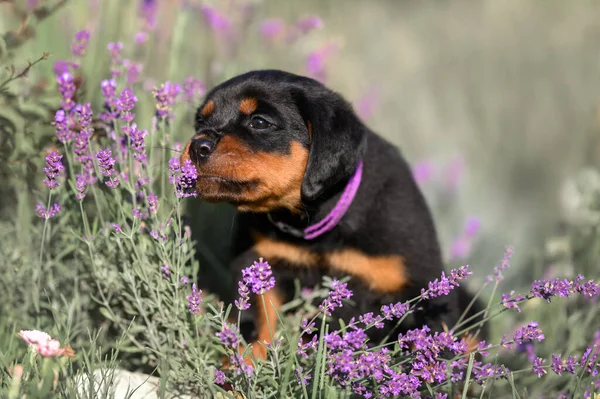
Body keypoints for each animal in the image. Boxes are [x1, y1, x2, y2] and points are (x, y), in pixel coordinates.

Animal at [180, 70, 486, 360]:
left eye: (259, 122)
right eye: (200, 123)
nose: (197, 146)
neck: (310, 225)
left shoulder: (420, 289)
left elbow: (433, 347)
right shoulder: (257, 262)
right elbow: (257, 322)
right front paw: (243, 366)